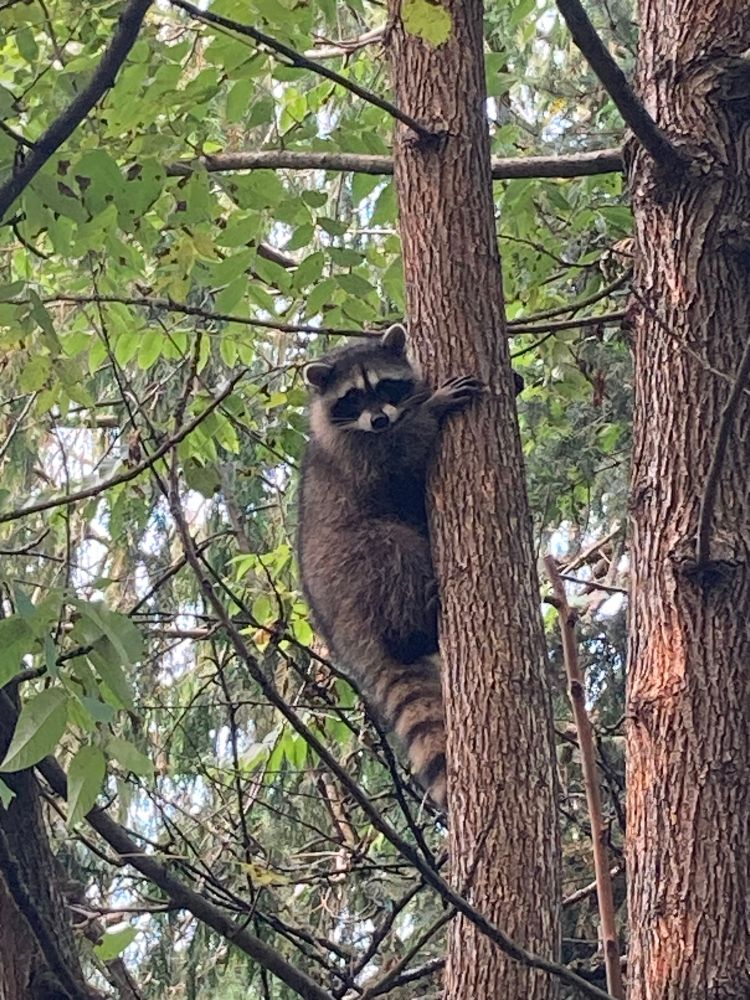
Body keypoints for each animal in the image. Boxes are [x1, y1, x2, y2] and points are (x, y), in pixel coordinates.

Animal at [296, 323, 486, 809]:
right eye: (352, 398)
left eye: (384, 386)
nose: (379, 420)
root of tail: (342, 634)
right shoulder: (358, 453)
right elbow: (400, 459)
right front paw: (434, 408)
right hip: (353, 566)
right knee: (393, 548)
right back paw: (418, 621)